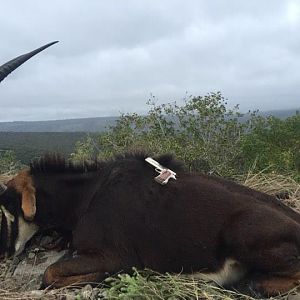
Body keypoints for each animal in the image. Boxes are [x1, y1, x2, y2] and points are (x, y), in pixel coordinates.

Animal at [0, 154, 300, 296]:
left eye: (8, 204)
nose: (5, 251)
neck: (88, 193)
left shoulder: (113, 257)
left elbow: (49, 274)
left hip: (243, 235)